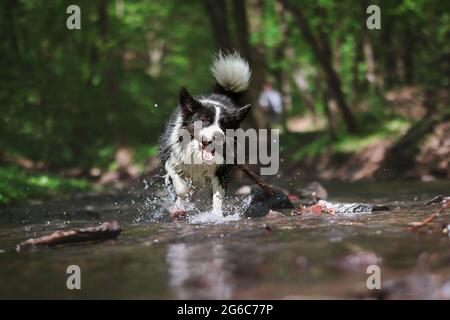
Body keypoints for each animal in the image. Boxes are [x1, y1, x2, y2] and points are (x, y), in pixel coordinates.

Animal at [158, 52, 251, 216]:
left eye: (224, 125)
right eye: (205, 120)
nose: (218, 136)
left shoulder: (221, 169)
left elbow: (218, 194)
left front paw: (216, 216)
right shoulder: (170, 157)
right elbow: (181, 187)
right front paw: (181, 203)